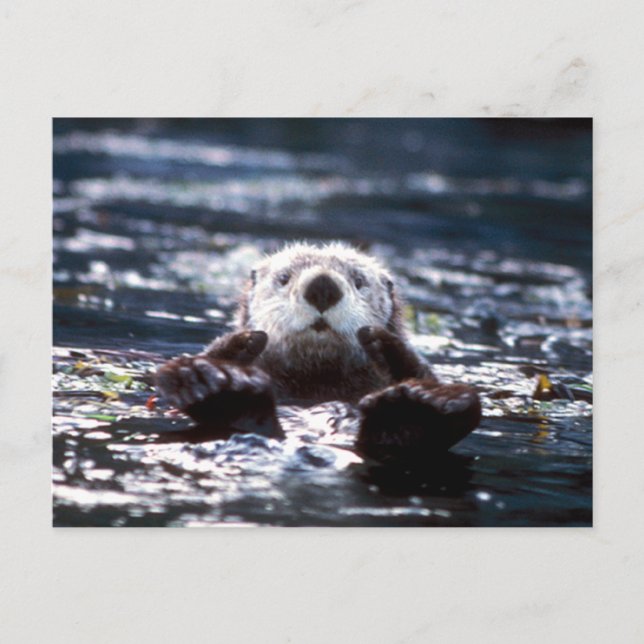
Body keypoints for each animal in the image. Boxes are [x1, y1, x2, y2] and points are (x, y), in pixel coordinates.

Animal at [155, 243, 481, 461]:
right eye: (284, 278)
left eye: (359, 281)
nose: (323, 285)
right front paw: (243, 342)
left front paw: (385, 344)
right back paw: (211, 382)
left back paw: (415, 406)